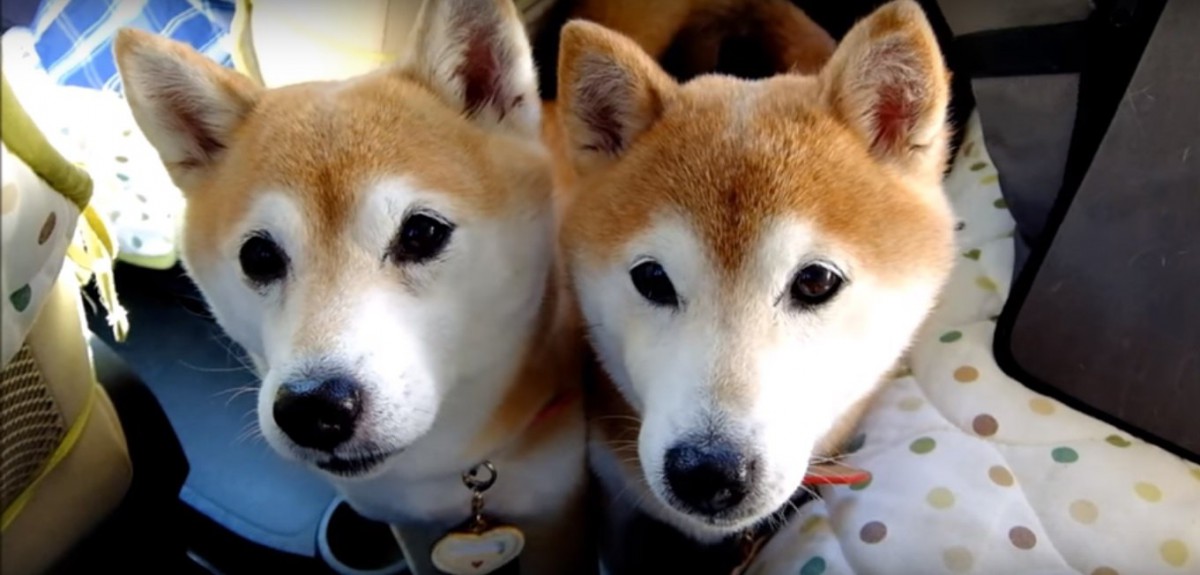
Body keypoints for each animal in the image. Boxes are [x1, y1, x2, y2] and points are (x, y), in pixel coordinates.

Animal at [114, 1, 592, 575]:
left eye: (422, 232)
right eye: (259, 257)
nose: (313, 409)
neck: (445, 469)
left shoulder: (556, 519)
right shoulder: (409, 523)